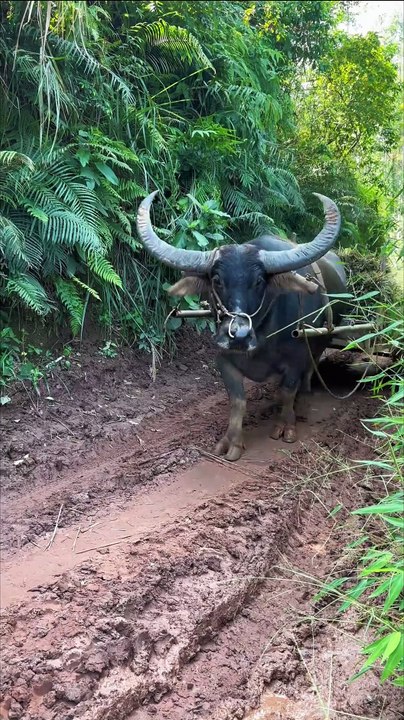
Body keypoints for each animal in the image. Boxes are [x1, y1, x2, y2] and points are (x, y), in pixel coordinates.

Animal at [136, 191, 346, 461]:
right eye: (217, 280)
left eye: (258, 281)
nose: (239, 335)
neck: (262, 340)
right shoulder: (224, 360)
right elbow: (238, 401)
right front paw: (231, 442)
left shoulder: (296, 359)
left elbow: (288, 390)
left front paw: (285, 426)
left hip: (318, 343)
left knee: (309, 373)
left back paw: (302, 403)